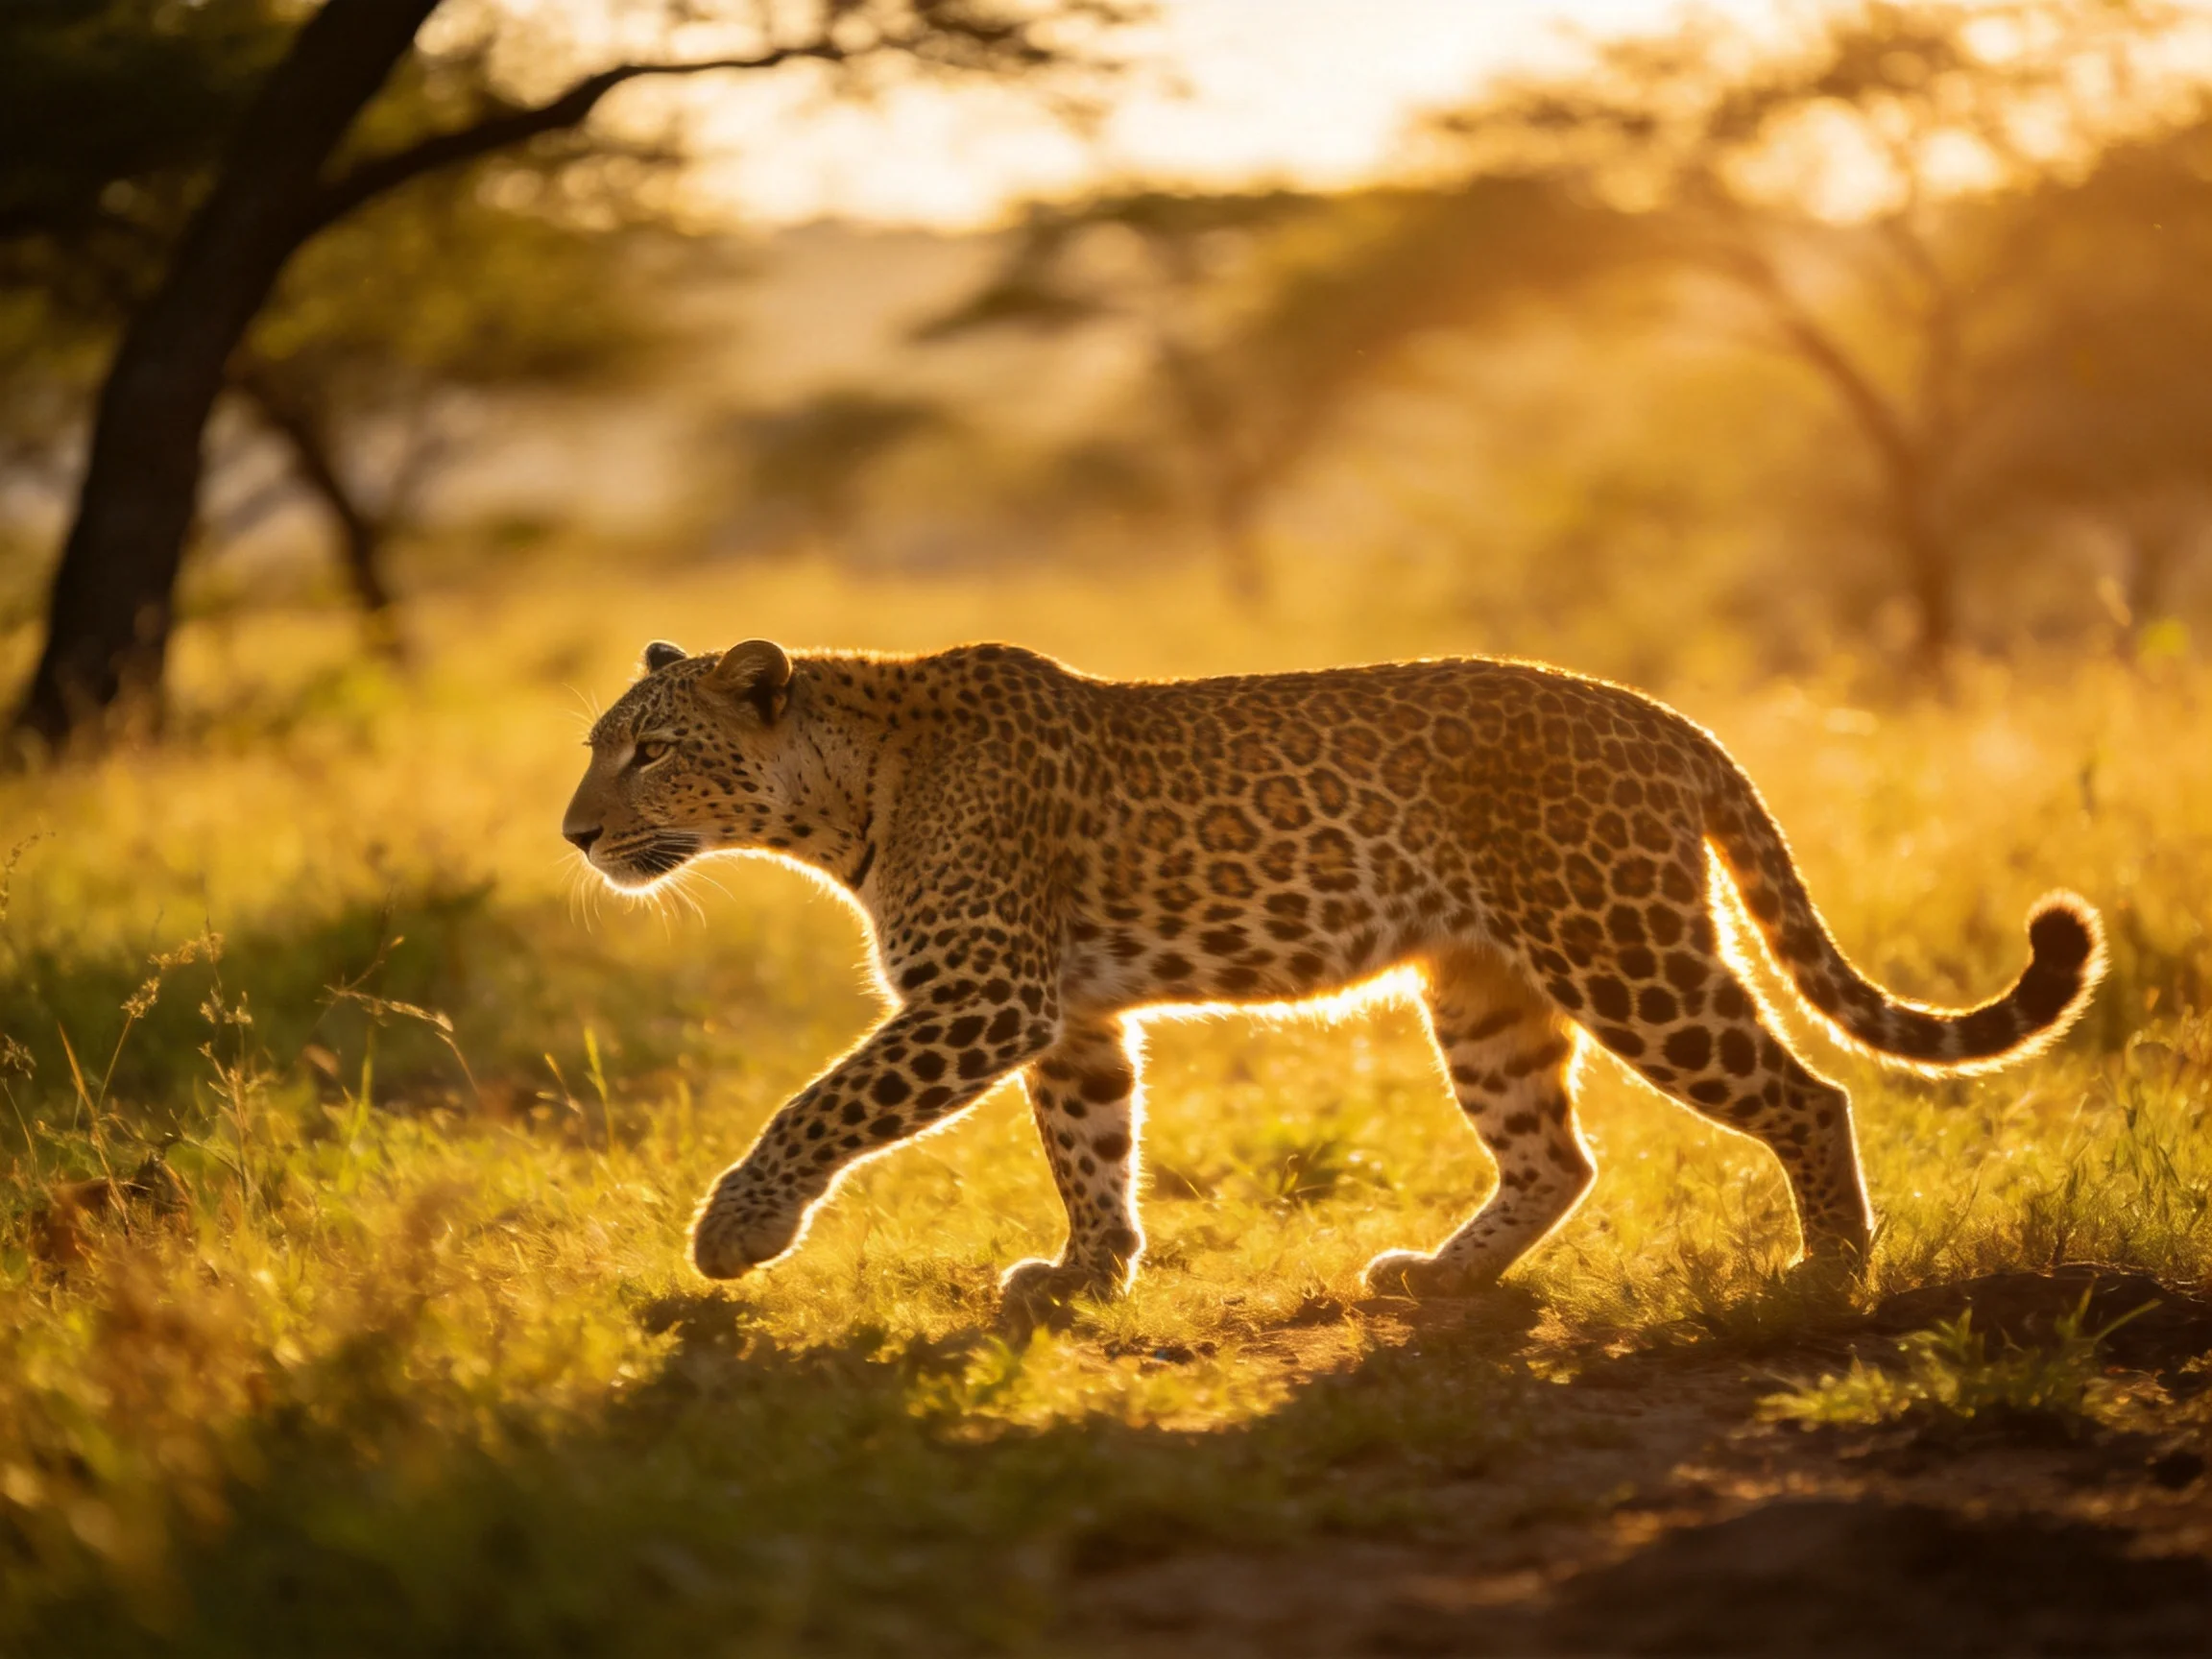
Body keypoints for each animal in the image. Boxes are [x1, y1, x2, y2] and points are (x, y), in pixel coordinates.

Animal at [561, 636, 2104, 1307]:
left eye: (650, 749)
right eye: (599, 742)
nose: (574, 832)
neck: (839, 794)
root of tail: (1667, 717)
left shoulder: (984, 995)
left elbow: (818, 1104)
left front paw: (738, 1230)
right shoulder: (1068, 1015)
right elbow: (1088, 1145)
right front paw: (1091, 1273)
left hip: (1629, 949)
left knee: (1806, 1096)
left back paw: (1827, 1273)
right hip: (1482, 990)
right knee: (1555, 1156)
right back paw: (1437, 1277)